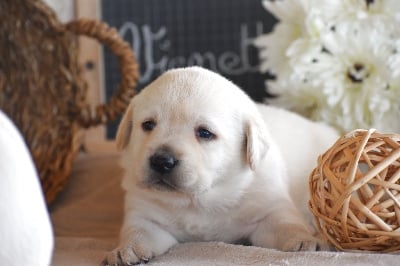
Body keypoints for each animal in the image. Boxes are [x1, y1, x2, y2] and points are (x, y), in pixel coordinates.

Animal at [103, 67, 338, 266]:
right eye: (148, 125)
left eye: (205, 133)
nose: (161, 161)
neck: (200, 199)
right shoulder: (145, 212)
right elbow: (137, 231)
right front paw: (125, 250)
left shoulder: (269, 208)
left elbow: (287, 224)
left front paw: (306, 240)